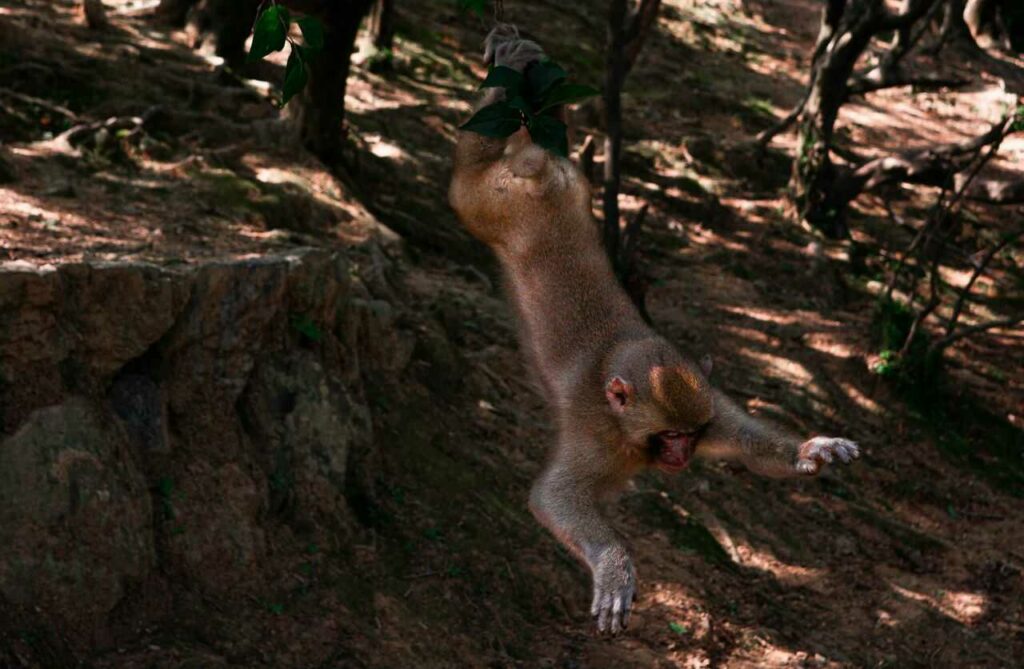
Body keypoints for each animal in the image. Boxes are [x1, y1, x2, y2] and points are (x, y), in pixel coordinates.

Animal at [448, 24, 856, 631]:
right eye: (670, 437)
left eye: (690, 436)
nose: (683, 457)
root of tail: (537, 176)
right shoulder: (597, 436)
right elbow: (553, 499)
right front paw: (614, 565)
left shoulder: (710, 404)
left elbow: (751, 446)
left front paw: (815, 449)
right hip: (488, 202)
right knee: (469, 171)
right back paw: (498, 86)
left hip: (568, 183)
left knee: (545, 137)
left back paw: (523, 68)